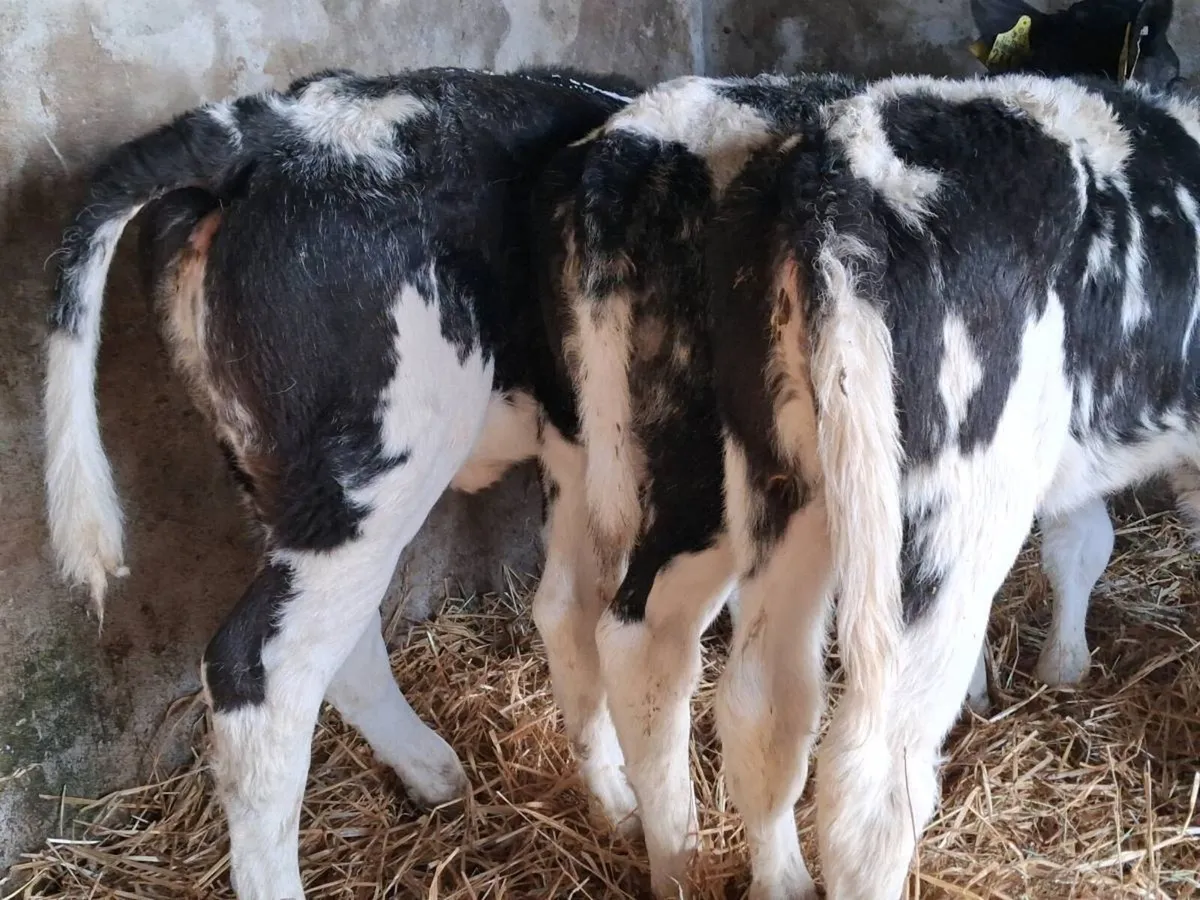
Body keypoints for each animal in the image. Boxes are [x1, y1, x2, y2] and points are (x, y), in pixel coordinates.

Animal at [42, 65, 640, 899]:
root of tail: (269, 128)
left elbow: (575, 606)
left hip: (284, 476)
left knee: (337, 641)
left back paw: (436, 774)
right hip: (382, 460)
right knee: (259, 675)